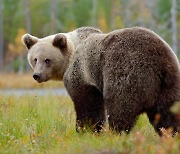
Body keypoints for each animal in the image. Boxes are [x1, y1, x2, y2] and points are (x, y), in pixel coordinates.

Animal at [21, 27, 180, 135]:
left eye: (47, 60)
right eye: (35, 59)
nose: (37, 75)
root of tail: (158, 60)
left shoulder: (83, 73)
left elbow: (87, 105)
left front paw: (85, 129)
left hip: (126, 72)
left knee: (120, 107)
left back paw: (116, 133)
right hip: (169, 82)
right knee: (167, 111)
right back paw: (171, 133)